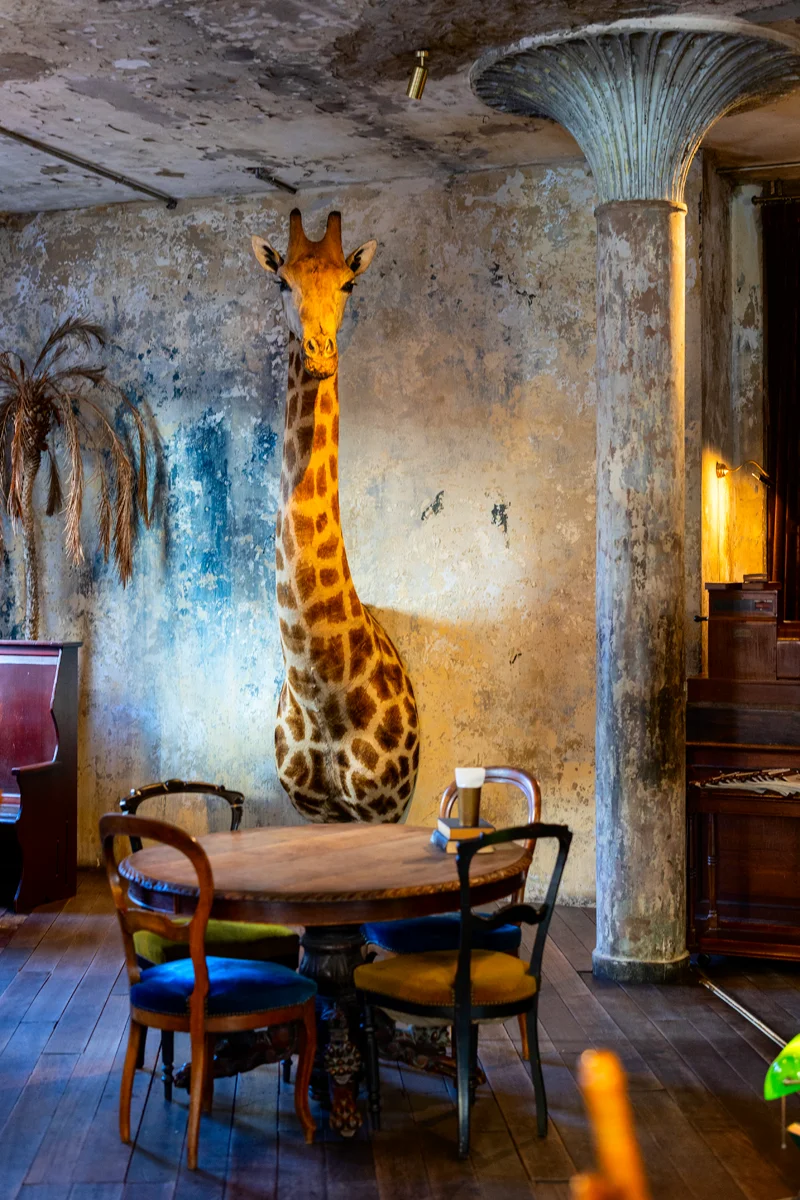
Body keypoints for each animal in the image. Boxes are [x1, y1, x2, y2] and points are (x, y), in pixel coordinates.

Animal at [252, 209, 419, 823]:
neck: (320, 693)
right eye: (282, 282)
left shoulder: (383, 808)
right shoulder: (314, 811)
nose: (320, 350)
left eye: (349, 284)